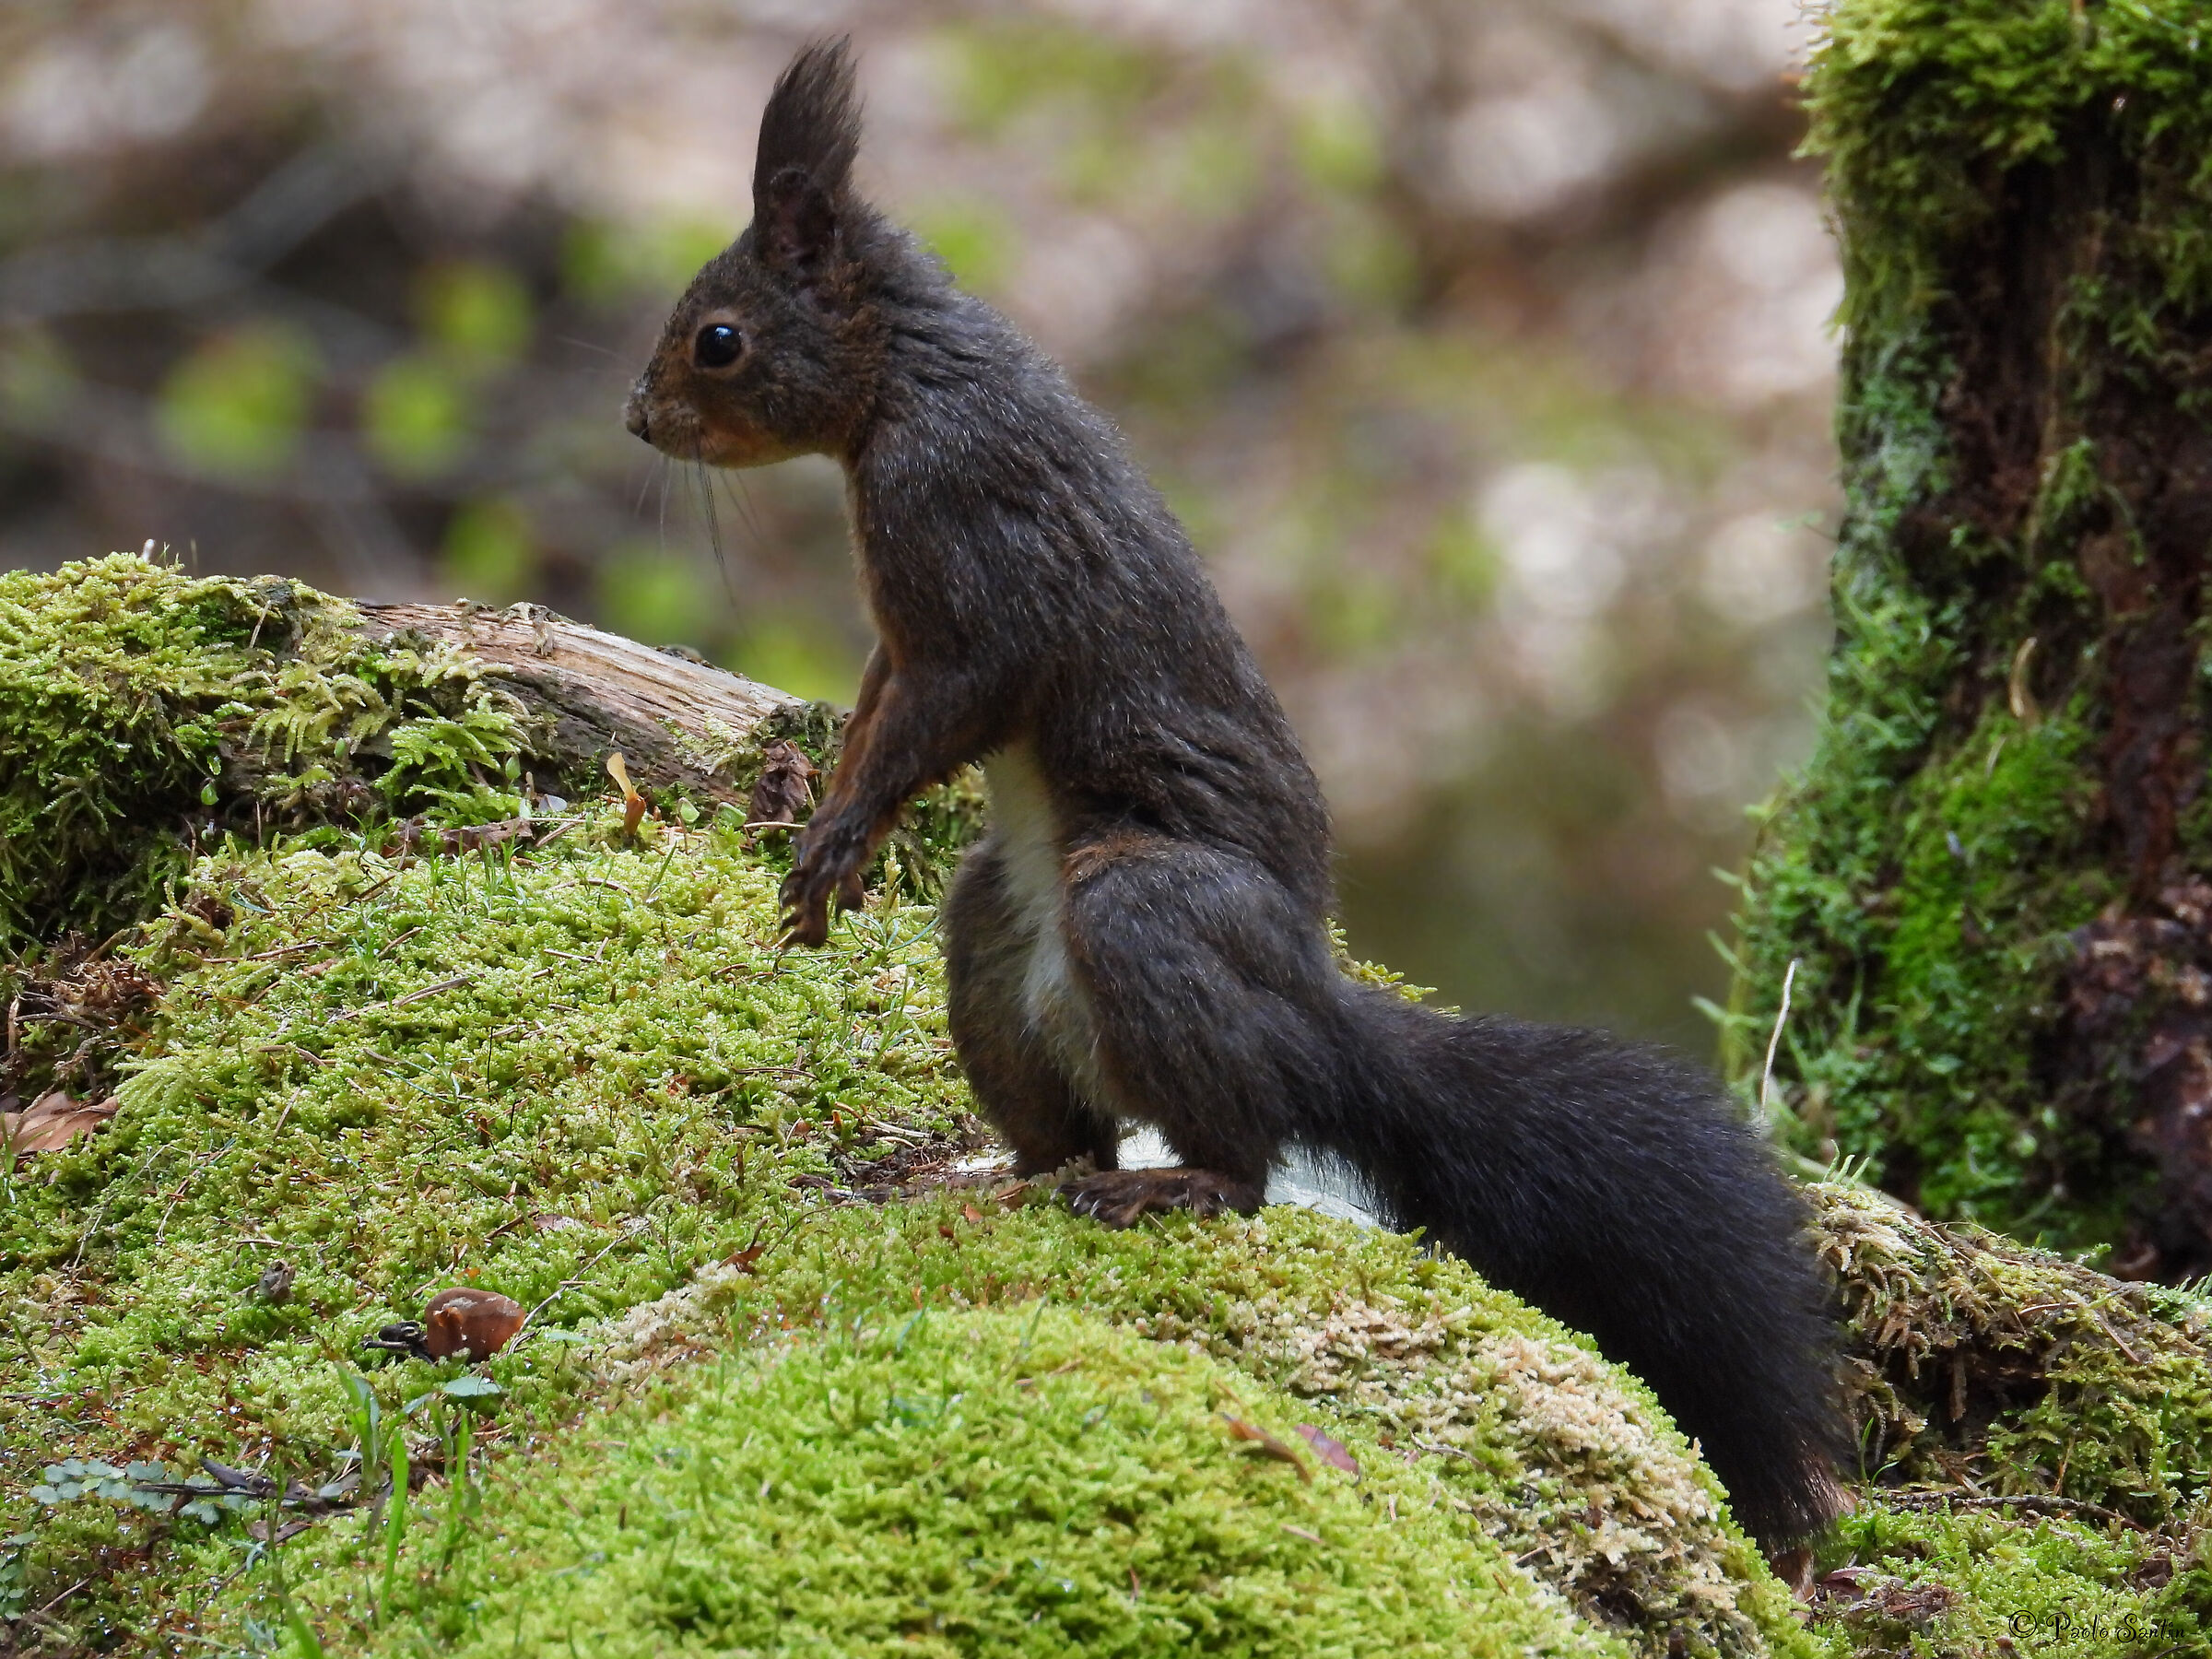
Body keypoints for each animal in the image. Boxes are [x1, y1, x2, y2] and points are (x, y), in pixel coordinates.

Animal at [623, 39, 1846, 1549]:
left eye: (719, 338)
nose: (637, 419)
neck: (906, 377)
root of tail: (1316, 1017)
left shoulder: (968, 549)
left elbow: (948, 702)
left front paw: (843, 839)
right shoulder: (899, 632)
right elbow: (872, 708)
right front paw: (824, 823)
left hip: (1145, 910)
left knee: (1252, 1161)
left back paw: (1183, 1183)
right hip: (993, 947)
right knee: (1063, 1122)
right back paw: (1010, 1175)